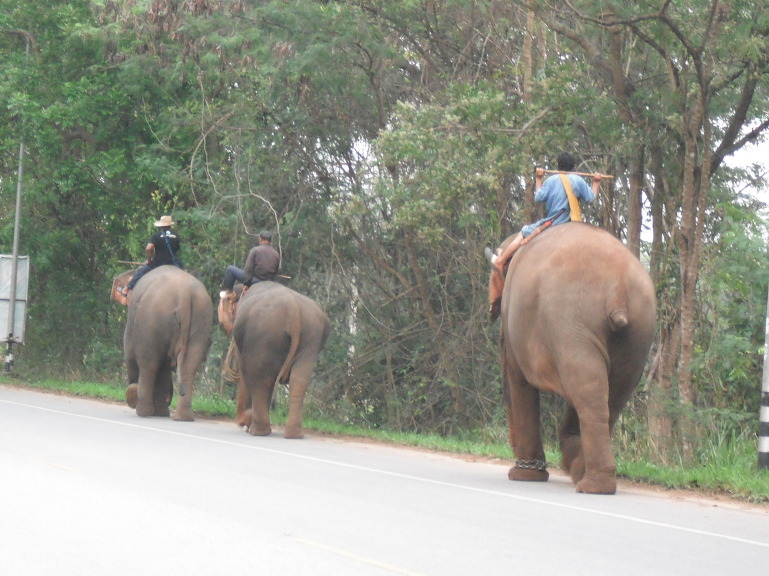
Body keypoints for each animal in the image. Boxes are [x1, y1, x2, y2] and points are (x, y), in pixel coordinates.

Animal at [123, 264, 213, 418]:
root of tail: (185, 295)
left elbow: (130, 353)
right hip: (201, 320)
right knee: (189, 366)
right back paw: (182, 417)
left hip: (152, 319)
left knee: (149, 364)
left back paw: (143, 412)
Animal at [220, 282, 332, 438]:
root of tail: (294, 311)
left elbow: (243, 373)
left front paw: (244, 423)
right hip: (312, 337)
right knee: (299, 381)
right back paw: (293, 434)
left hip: (265, 336)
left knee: (259, 380)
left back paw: (257, 431)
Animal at [492, 223, 656, 492]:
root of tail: (619, 287)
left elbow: (520, 383)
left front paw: (524, 475)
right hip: (638, 332)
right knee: (611, 395)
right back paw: (582, 471)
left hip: (571, 321)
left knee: (587, 392)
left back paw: (591, 485)